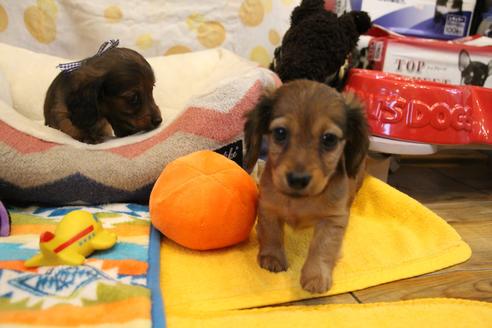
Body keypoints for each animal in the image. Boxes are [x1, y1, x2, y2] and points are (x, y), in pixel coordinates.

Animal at [0, 42, 276, 204]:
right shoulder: (63, 116)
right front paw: (89, 137)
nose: (159, 121)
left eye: (152, 89)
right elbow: (72, 128)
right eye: (133, 97)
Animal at [244, 80, 368, 294]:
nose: (297, 179)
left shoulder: (333, 219)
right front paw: (272, 257)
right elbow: (271, 233)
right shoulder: (268, 207)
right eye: (280, 133)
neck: (299, 201)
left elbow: (322, 247)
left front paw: (316, 276)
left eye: (329, 139)